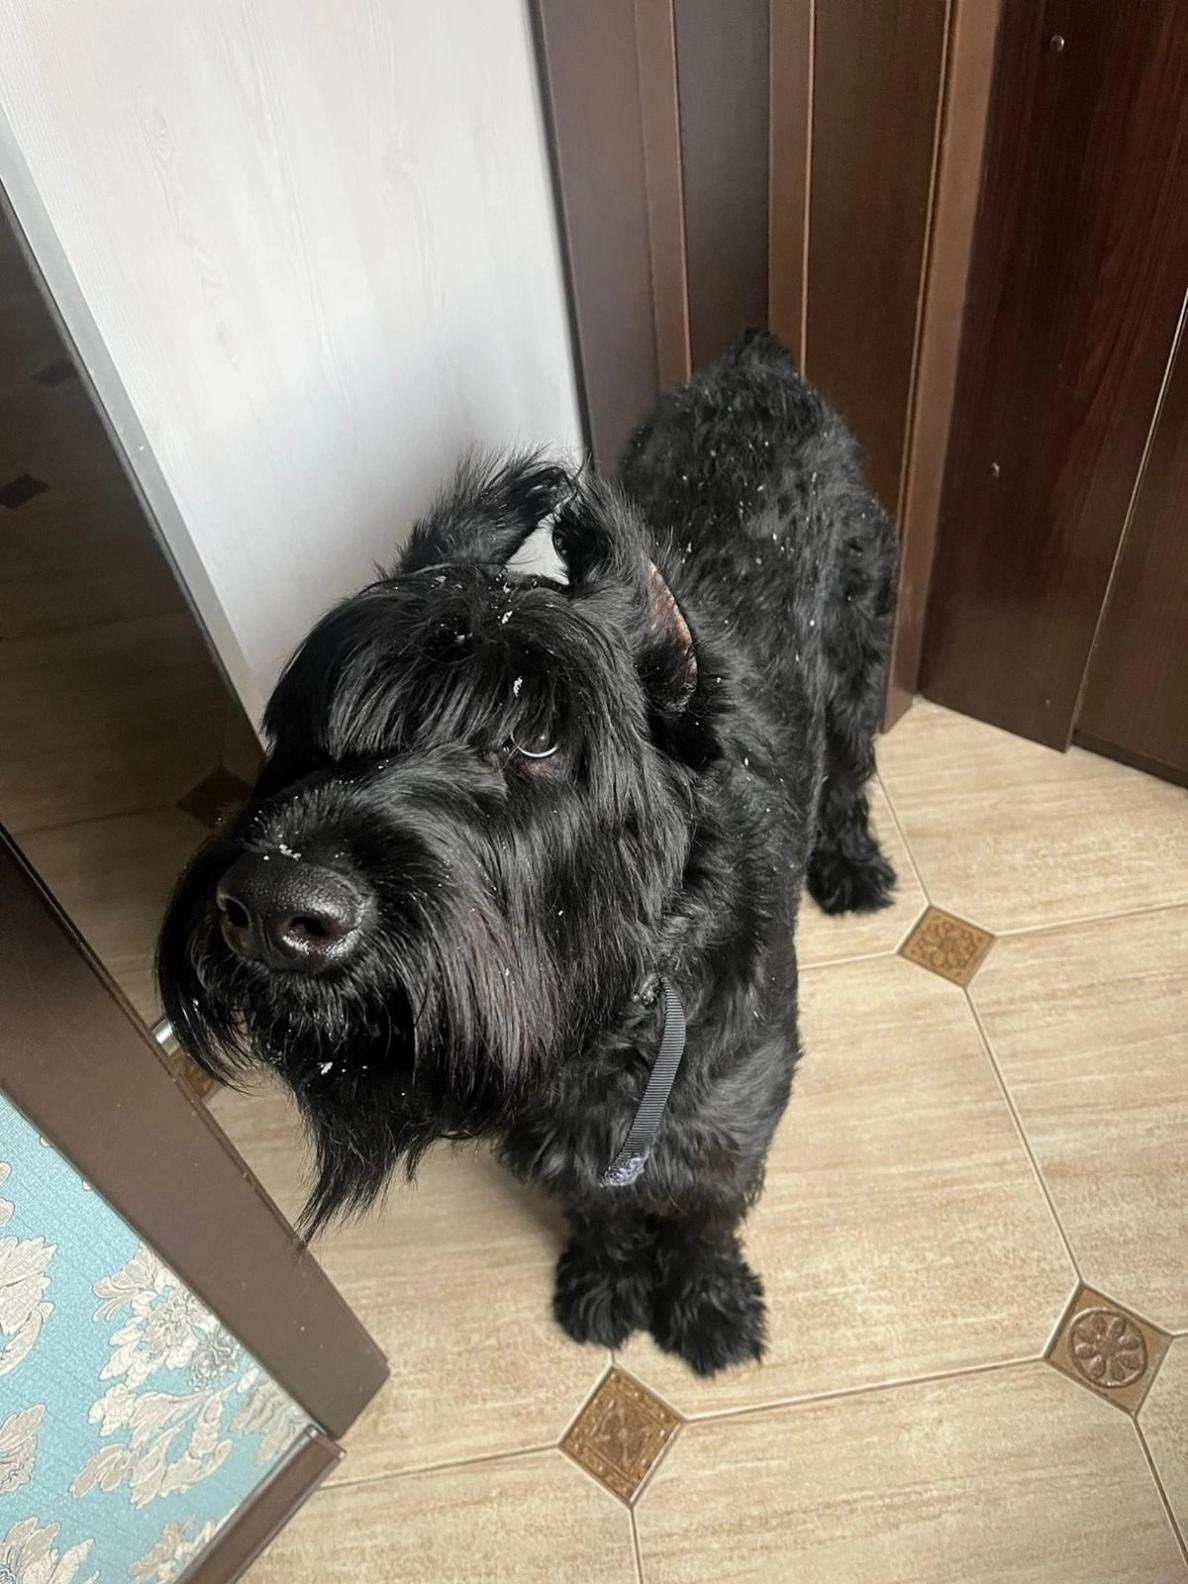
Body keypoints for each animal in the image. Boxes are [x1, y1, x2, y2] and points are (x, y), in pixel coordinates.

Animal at [158, 330, 897, 1375]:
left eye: (538, 737)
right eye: (309, 721)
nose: (272, 905)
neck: (612, 1025)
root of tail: (756, 365)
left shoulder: (731, 1122)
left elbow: (703, 1215)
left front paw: (706, 1301)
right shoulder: (557, 1132)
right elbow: (600, 1206)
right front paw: (604, 1280)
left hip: (860, 658)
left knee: (851, 775)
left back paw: (853, 868)